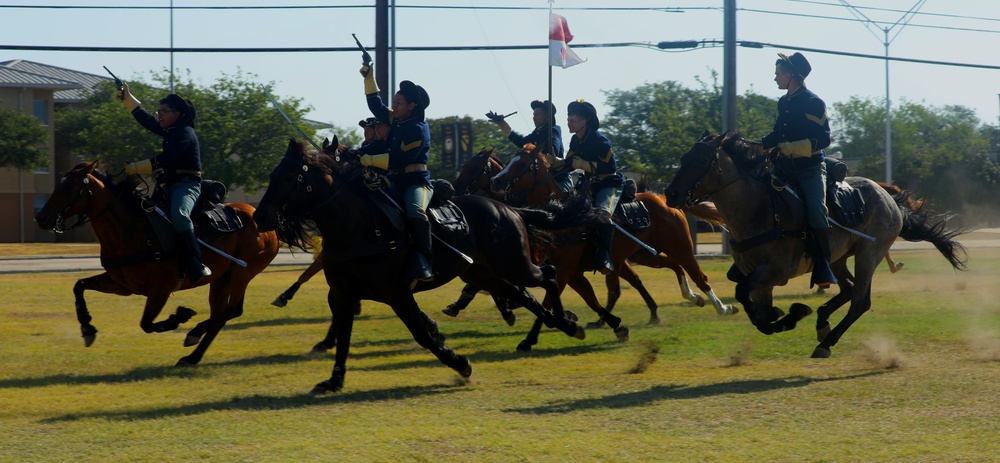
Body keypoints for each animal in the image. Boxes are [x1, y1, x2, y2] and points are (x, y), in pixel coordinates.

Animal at [34, 162, 280, 366]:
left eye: (68, 187)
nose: (41, 218)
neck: (132, 230)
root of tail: (263, 221)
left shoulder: (161, 289)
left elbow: (147, 324)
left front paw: (180, 316)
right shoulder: (122, 285)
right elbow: (80, 285)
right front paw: (86, 327)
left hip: (242, 273)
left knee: (233, 310)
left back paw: (194, 333)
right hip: (222, 278)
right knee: (220, 316)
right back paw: (192, 356)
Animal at [254, 140, 588, 394]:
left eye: (288, 178)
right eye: (272, 174)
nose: (260, 217)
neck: (363, 227)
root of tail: (509, 208)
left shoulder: (398, 294)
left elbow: (422, 335)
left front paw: (460, 363)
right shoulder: (343, 296)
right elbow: (345, 337)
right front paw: (334, 380)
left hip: (514, 264)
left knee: (549, 277)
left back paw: (565, 322)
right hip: (486, 274)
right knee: (526, 296)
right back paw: (562, 326)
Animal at [664, 132, 968, 360]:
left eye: (702, 159)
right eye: (683, 158)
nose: (671, 194)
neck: (759, 209)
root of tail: (890, 199)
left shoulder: (776, 271)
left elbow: (745, 297)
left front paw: (789, 315)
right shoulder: (758, 276)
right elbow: (754, 309)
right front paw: (781, 316)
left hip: (869, 253)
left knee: (860, 300)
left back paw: (826, 341)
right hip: (837, 258)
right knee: (848, 288)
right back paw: (822, 322)